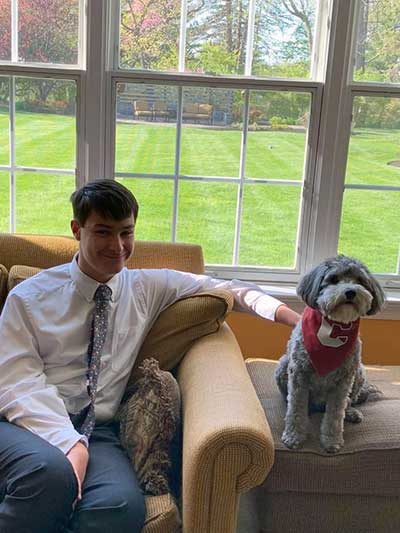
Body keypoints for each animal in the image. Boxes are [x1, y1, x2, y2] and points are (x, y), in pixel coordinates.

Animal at [276, 255, 384, 454]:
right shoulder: (299, 374)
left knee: (349, 402)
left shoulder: (344, 380)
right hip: (282, 366)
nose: (350, 292)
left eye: (360, 280)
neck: (334, 328)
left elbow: (335, 414)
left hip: (359, 373)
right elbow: (296, 409)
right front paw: (294, 436)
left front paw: (331, 440)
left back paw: (351, 412)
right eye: (333, 279)